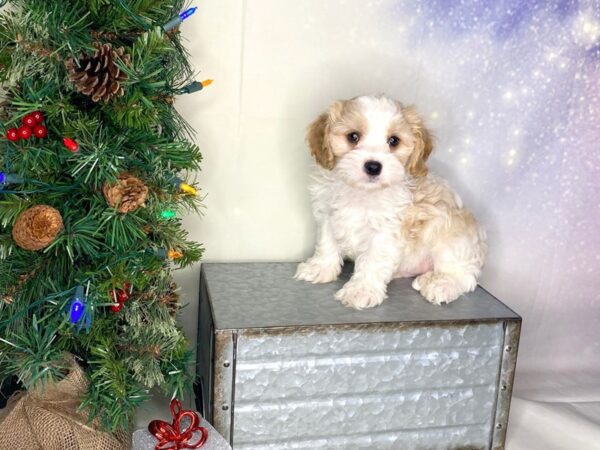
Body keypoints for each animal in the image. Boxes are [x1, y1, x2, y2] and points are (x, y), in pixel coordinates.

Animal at [296, 93, 488, 308]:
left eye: (394, 141)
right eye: (353, 136)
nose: (373, 166)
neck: (362, 193)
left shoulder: (387, 230)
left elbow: (373, 260)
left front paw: (361, 290)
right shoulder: (327, 216)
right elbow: (326, 244)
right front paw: (320, 269)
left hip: (452, 239)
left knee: (465, 277)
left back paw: (440, 285)